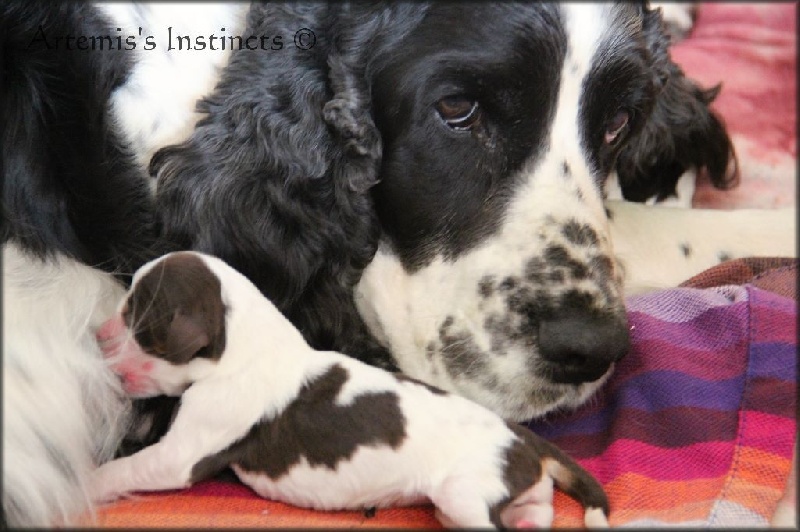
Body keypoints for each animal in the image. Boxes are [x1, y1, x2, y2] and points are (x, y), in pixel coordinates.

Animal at [90, 252, 608, 528]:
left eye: (136, 316)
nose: (97, 333)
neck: (239, 343)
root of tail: (520, 437)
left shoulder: (182, 451)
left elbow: (124, 468)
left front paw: (90, 481)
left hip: (463, 493)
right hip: (508, 496)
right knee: (535, 512)